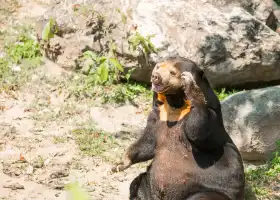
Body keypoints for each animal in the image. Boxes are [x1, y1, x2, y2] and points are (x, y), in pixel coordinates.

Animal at [111, 55, 245, 200]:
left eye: (172, 73)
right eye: (158, 67)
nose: (155, 76)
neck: (175, 105)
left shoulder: (213, 118)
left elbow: (198, 131)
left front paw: (191, 87)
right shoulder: (157, 117)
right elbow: (147, 142)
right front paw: (119, 164)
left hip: (209, 190)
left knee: (203, 197)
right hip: (148, 183)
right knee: (137, 184)